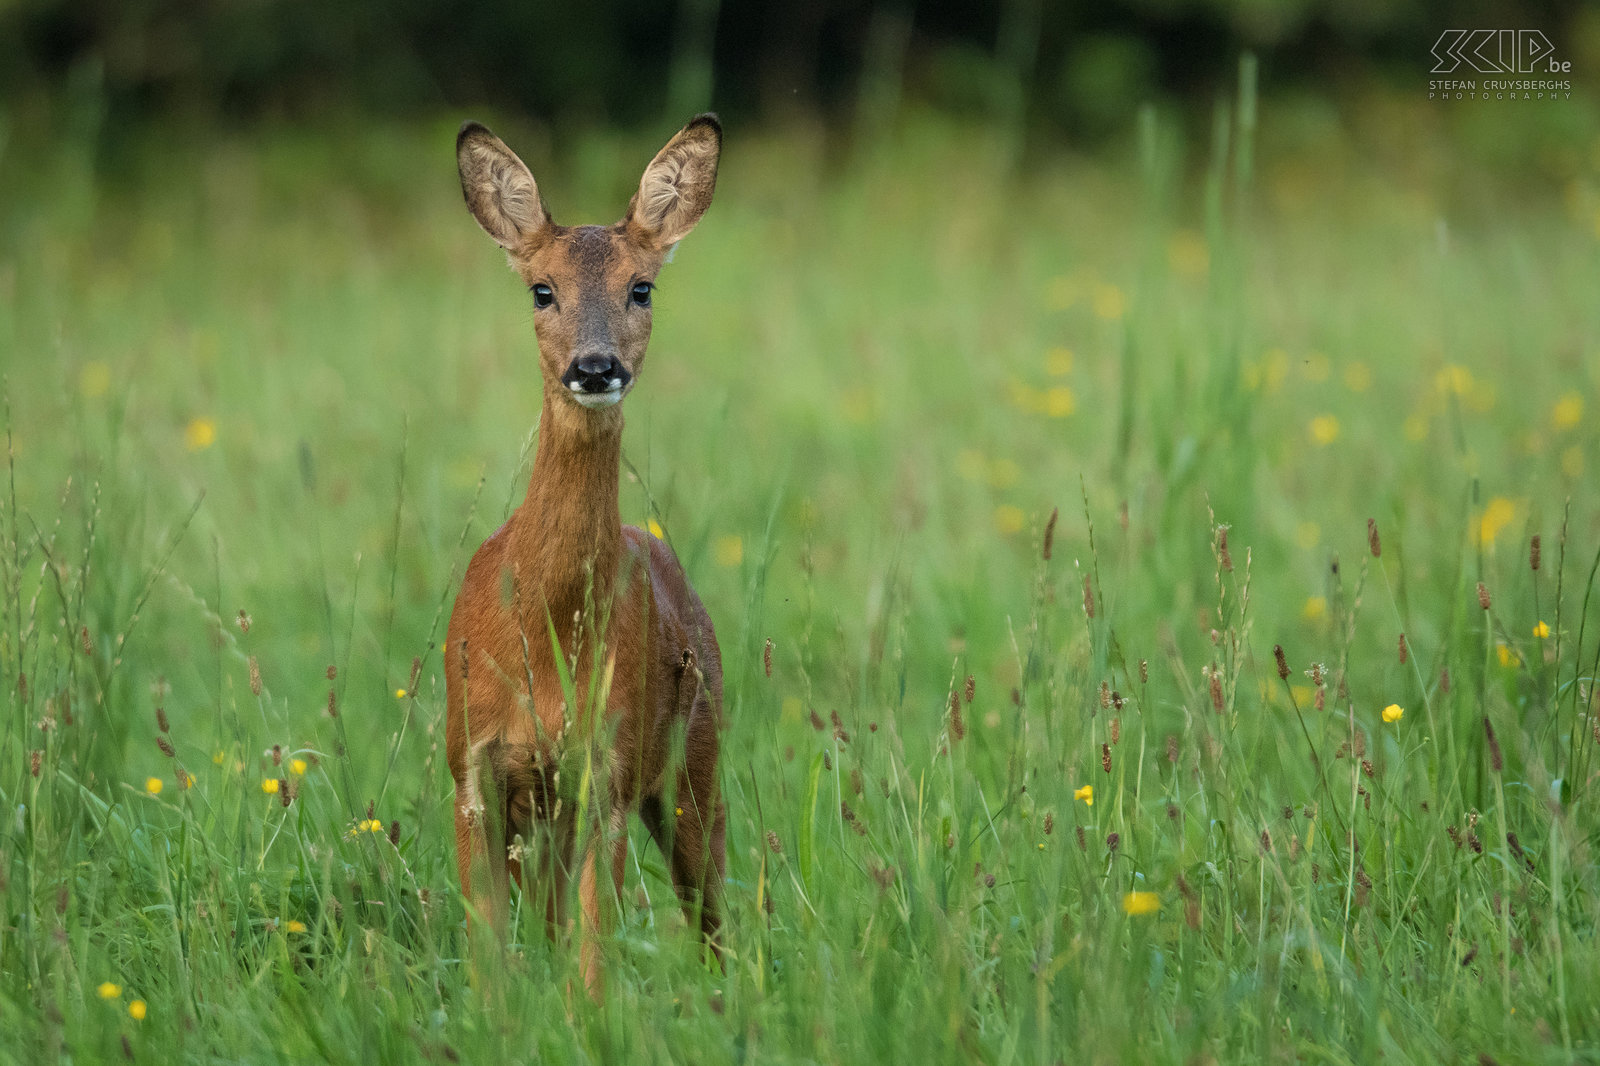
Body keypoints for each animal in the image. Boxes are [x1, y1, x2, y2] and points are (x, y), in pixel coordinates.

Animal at [448, 112, 729, 992]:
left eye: (643, 287)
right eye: (542, 290)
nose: (596, 366)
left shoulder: (606, 769)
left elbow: (593, 956)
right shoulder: (470, 765)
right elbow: (488, 953)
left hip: (693, 760)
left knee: (716, 915)